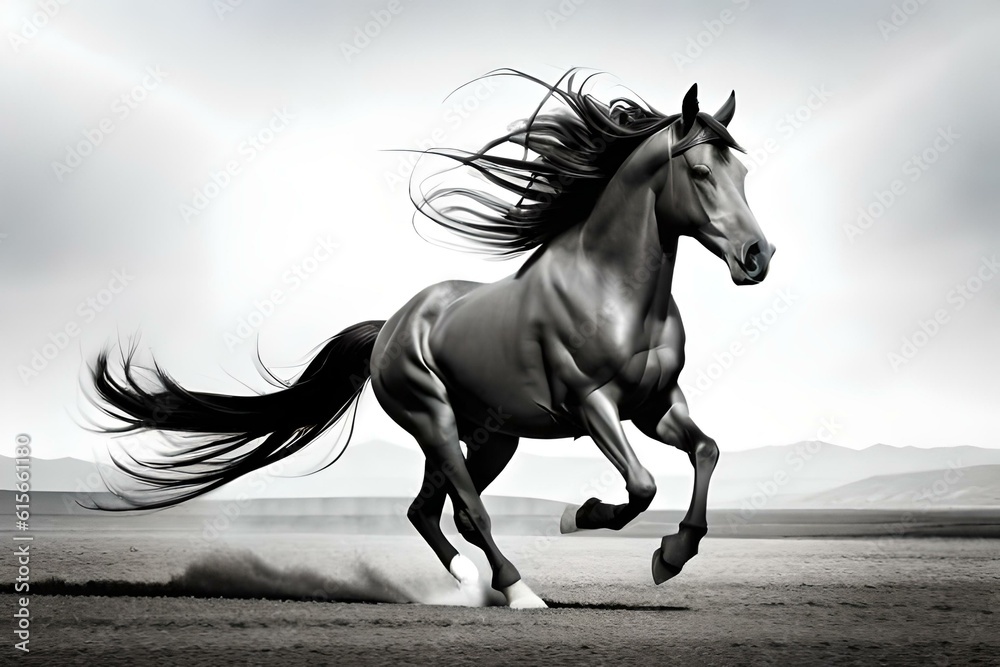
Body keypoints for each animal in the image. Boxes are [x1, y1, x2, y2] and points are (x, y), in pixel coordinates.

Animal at [90, 69, 776, 612]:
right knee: (468, 510)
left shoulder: (657, 403)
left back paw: (470, 580)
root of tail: (389, 329)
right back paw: (516, 591)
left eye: (742, 171)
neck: (614, 291)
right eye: (699, 172)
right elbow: (641, 486)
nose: (757, 256)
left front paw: (671, 555)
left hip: (491, 436)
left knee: (428, 509)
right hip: (433, 419)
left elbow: (707, 451)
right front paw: (577, 515)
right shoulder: (594, 404)